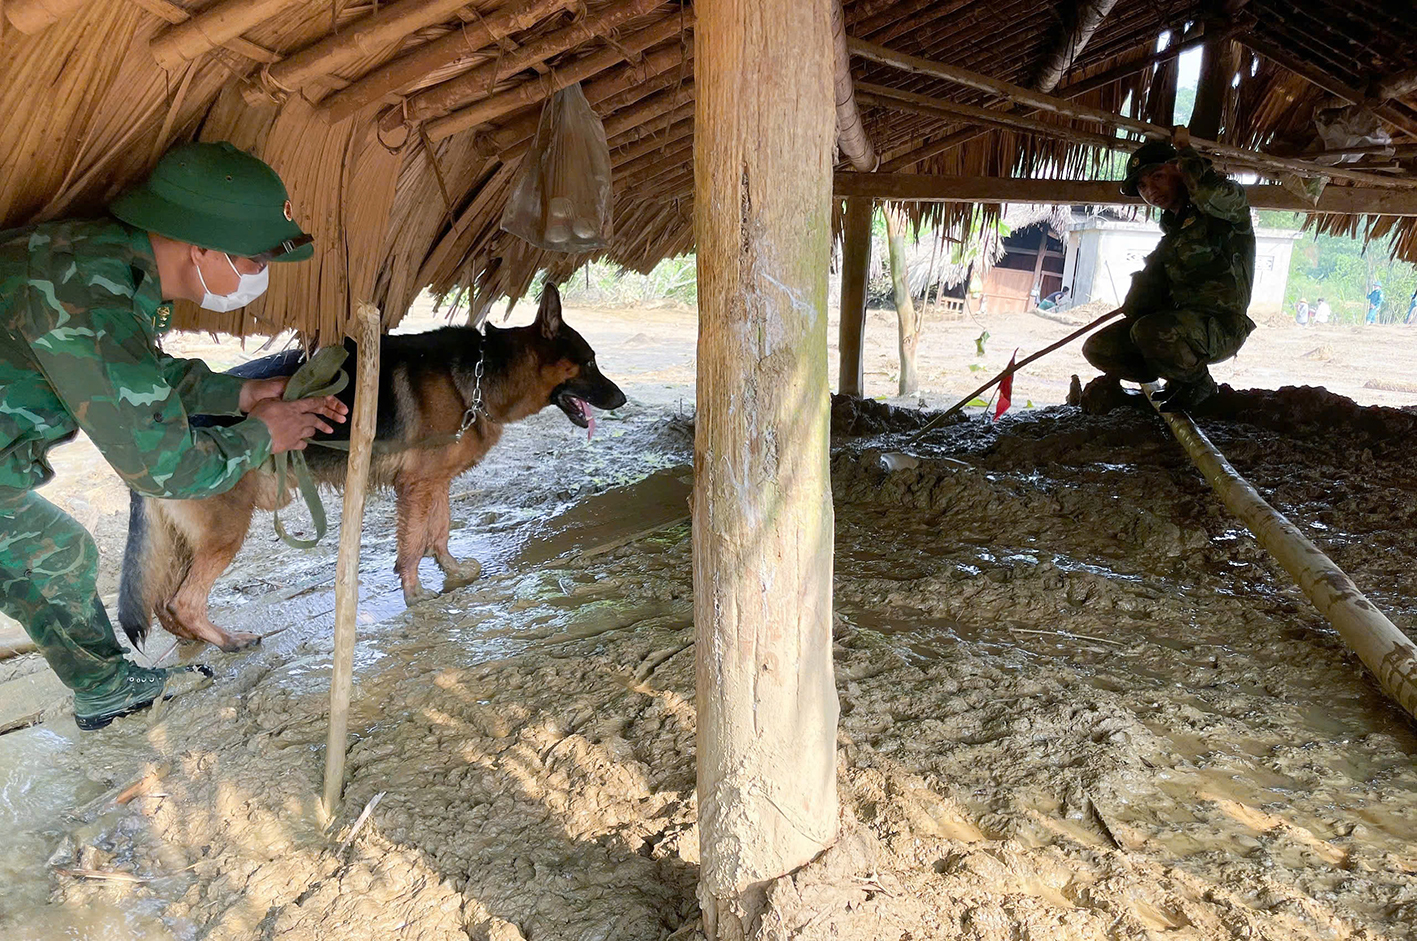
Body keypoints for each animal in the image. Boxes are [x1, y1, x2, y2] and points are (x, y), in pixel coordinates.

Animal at [119, 284, 629, 654]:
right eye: (590, 362)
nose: (622, 399)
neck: (484, 373)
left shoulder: (434, 482)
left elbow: (440, 531)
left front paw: (453, 572)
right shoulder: (417, 486)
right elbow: (413, 543)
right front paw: (415, 593)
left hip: (186, 540)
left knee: (164, 605)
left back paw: (194, 643)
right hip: (225, 531)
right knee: (183, 601)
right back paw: (227, 641)